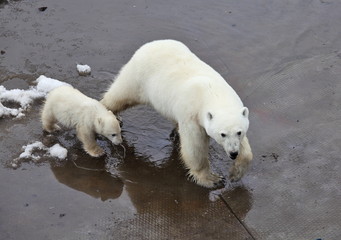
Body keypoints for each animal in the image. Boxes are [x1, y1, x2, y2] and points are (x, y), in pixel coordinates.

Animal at [99, 39, 251, 188]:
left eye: (239, 132)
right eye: (222, 134)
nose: (233, 153)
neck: (213, 93)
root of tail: (151, 44)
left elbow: (246, 150)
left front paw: (235, 173)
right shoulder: (192, 114)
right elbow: (194, 147)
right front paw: (212, 179)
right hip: (138, 78)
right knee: (120, 96)